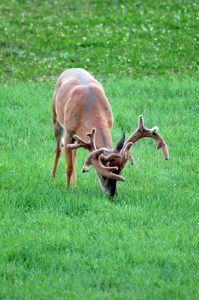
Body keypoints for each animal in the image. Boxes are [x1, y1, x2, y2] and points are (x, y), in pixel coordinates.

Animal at [52, 69, 169, 198]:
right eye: (103, 175)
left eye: (120, 172)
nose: (112, 194)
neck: (89, 109)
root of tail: (69, 69)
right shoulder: (69, 131)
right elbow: (69, 167)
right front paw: (67, 191)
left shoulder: (108, 123)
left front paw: (71, 187)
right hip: (56, 118)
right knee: (59, 147)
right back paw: (53, 178)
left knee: (73, 154)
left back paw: (74, 183)